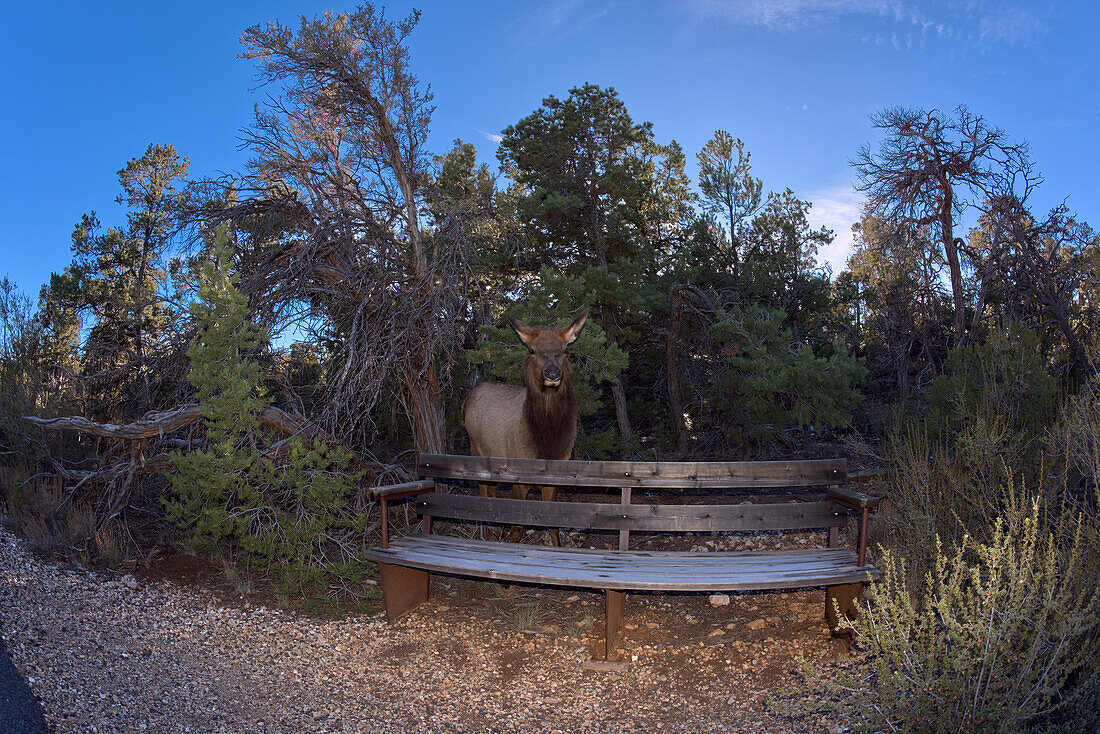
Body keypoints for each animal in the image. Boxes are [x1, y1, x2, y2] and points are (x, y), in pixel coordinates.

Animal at [462, 310, 589, 545]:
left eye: (565, 349)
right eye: (532, 349)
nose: (552, 373)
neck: (546, 446)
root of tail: (468, 398)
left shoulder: (554, 478)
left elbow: (553, 524)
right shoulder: (518, 476)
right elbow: (517, 528)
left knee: (491, 490)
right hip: (475, 449)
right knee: (483, 491)